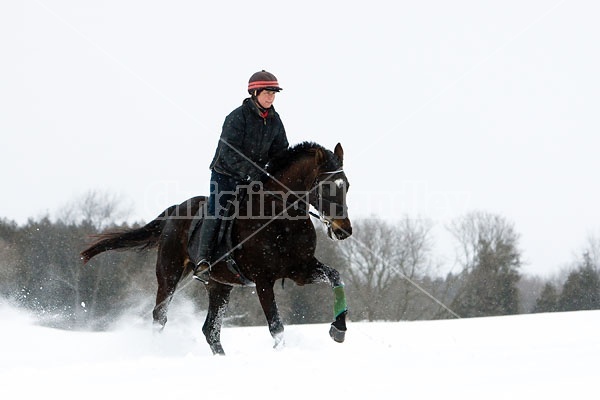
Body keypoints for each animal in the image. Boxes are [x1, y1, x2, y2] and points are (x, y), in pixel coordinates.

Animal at [79, 141, 352, 354]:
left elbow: (336, 277)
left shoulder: (300, 270)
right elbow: (276, 325)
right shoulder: (263, 280)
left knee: (210, 329)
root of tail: (175, 210)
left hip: (219, 285)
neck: (281, 218)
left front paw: (338, 329)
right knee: (160, 316)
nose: (344, 230)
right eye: (325, 187)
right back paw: (156, 351)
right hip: (169, 274)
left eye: (346, 185)